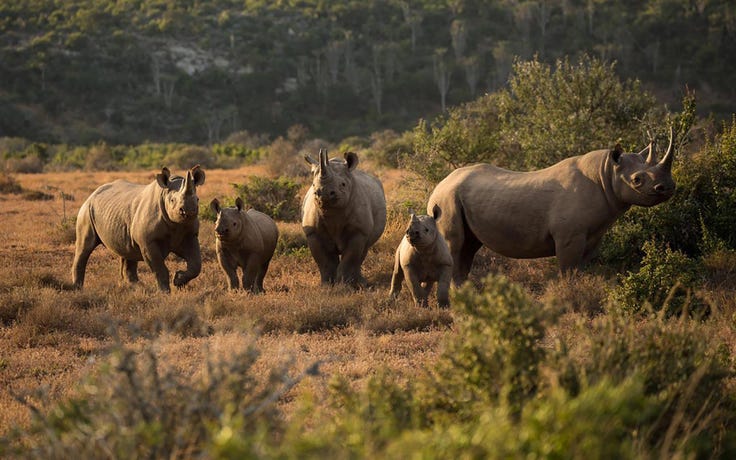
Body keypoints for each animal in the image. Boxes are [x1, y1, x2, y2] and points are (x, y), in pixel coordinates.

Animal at [73, 165, 204, 292]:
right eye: (172, 200)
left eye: (197, 199)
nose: (189, 211)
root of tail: (93, 193)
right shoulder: (148, 241)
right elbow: (159, 268)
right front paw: (165, 292)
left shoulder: (190, 235)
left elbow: (196, 265)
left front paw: (178, 280)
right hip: (87, 209)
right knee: (84, 247)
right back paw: (77, 288)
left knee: (127, 248)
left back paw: (135, 286)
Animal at [302, 150, 388, 288]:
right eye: (313, 185)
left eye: (343, 184)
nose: (323, 193)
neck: (331, 213)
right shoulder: (312, 233)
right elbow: (324, 261)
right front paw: (327, 286)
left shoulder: (359, 231)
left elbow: (350, 259)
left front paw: (344, 286)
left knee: (363, 251)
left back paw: (361, 283)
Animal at [428, 129, 676, 280]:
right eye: (637, 180)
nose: (668, 187)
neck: (606, 173)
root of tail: (439, 185)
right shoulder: (569, 236)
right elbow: (568, 270)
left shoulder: (592, 236)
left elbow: (579, 269)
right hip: (447, 199)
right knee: (456, 246)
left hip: (460, 199)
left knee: (467, 248)